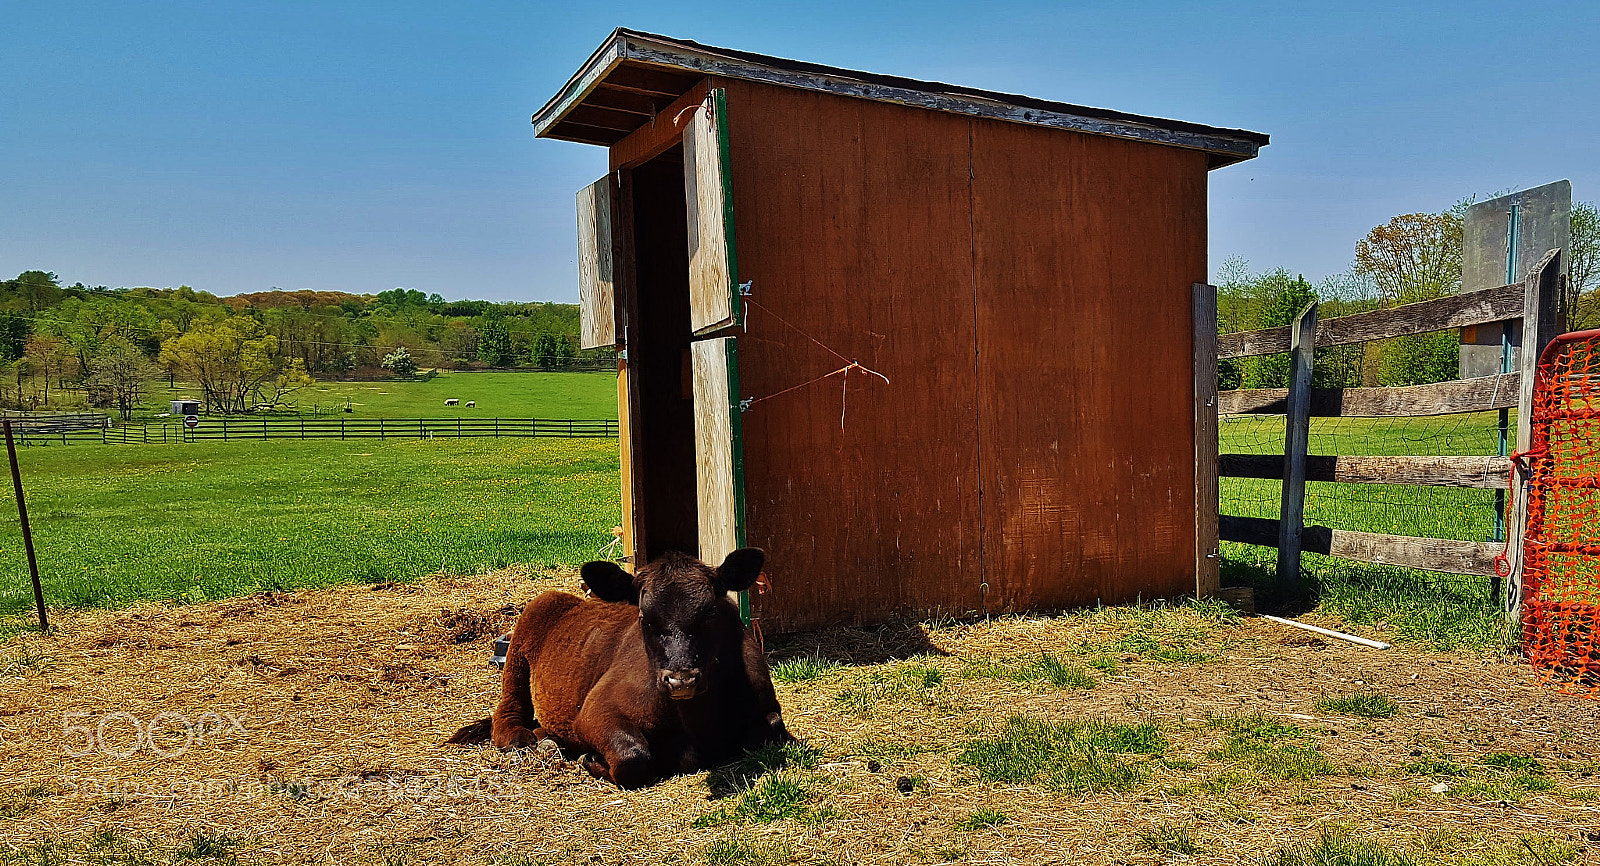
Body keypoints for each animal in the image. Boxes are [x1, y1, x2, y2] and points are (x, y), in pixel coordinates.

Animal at [447, 548, 791, 788]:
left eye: (709, 614)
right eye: (644, 618)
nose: (681, 680)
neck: (693, 721)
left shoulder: (766, 706)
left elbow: (770, 727)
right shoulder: (595, 710)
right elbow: (632, 756)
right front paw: (590, 759)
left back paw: (548, 739)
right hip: (520, 647)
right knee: (506, 713)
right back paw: (524, 740)